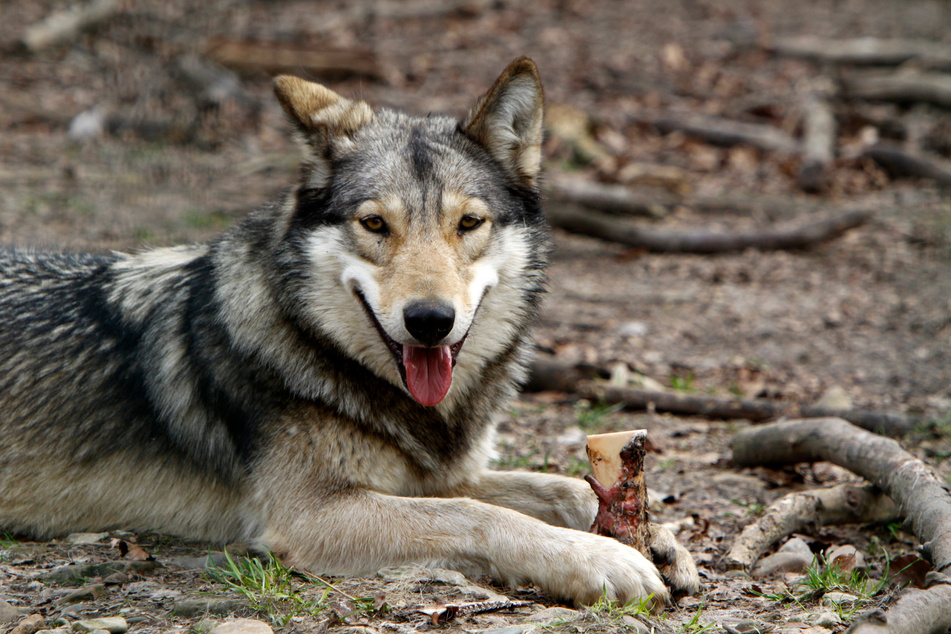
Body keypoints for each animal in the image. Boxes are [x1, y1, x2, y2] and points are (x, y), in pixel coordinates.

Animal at [0, 59, 700, 608]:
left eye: (468, 223)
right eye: (375, 224)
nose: (430, 320)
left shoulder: (436, 474)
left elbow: (553, 485)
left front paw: (662, 537)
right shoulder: (312, 513)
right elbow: (480, 514)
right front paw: (599, 559)